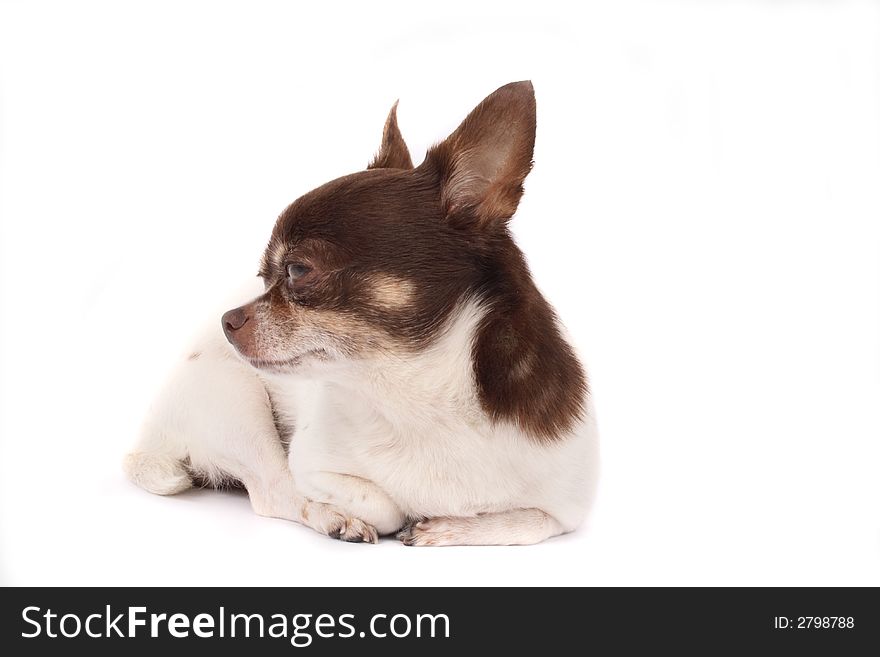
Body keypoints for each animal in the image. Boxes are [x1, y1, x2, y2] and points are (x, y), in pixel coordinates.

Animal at [124, 80, 600, 544]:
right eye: (263, 277)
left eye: (296, 270)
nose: (227, 319)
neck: (414, 396)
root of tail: (151, 434)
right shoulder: (310, 464)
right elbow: (377, 503)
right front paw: (370, 515)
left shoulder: (567, 512)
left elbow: (527, 523)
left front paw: (448, 527)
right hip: (231, 398)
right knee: (272, 491)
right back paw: (333, 518)